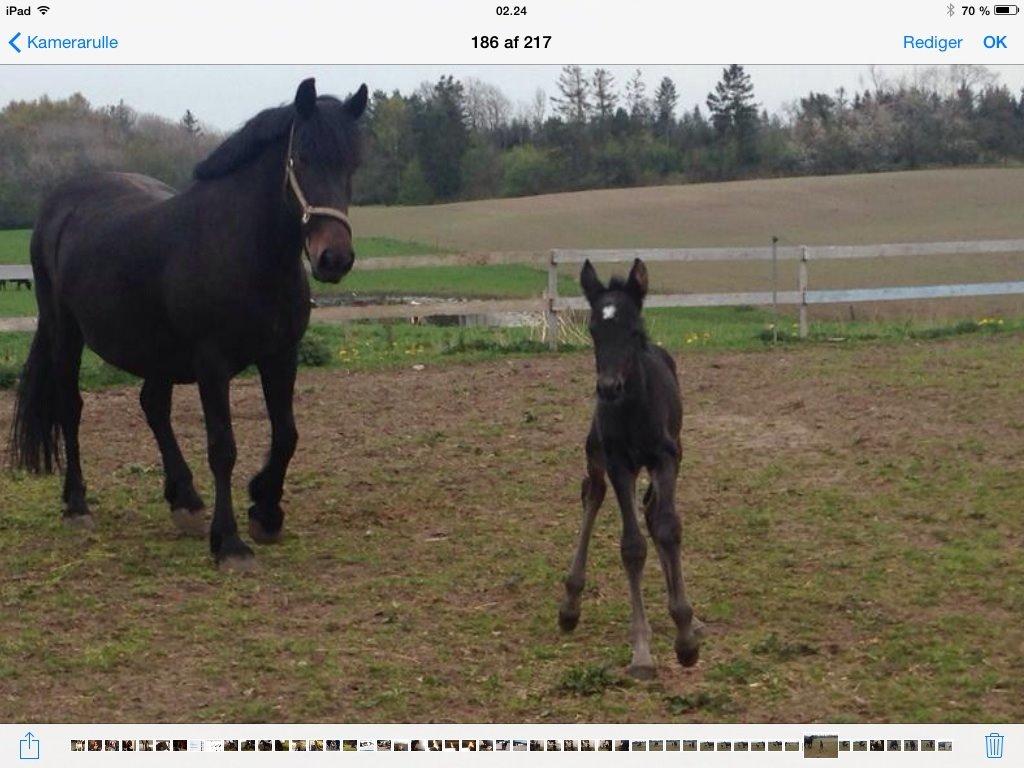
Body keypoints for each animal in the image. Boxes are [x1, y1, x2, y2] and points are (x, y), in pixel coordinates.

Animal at [8, 78, 368, 573]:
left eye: (352, 164)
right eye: (301, 159)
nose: (334, 259)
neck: (246, 249)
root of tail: (60, 204)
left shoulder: (281, 355)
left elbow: (286, 434)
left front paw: (266, 510)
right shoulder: (211, 363)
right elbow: (223, 446)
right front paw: (231, 543)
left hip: (155, 348)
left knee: (153, 405)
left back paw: (186, 501)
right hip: (66, 333)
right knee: (71, 407)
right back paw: (77, 505)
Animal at [561, 259, 704, 679]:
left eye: (634, 330)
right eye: (594, 329)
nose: (608, 387)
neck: (634, 410)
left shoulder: (666, 457)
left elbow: (668, 528)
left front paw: (685, 635)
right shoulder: (618, 462)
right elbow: (632, 546)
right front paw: (642, 651)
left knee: (654, 512)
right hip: (595, 451)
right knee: (592, 494)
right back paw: (570, 604)